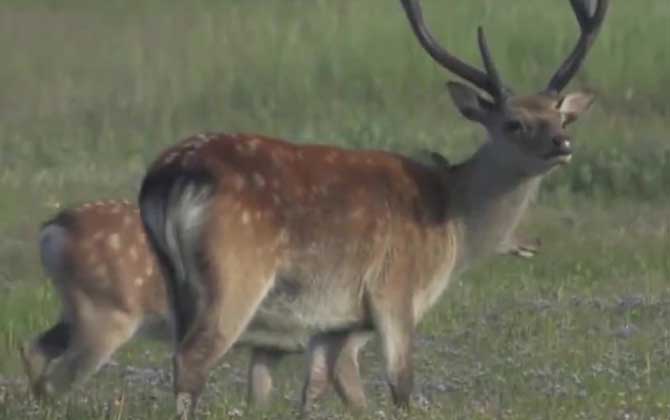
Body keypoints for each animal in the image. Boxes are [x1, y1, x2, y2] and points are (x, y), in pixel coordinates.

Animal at [18, 200, 368, 406]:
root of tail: (53, 230)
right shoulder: (341, 337)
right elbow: (357, 399)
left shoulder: (271, 345)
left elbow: (260, 397)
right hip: (107, 313)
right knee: (56, 379)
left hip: (77, 310)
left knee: (35, 350)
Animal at [136, 0, 608, 416]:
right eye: (515, 123)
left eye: (561, 117)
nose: (562, 144)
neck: (452, 222)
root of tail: (169, 173)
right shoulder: (393, 291)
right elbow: (399, 389)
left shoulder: (334, 324)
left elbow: (319, 393)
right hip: (235, 275)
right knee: (191, 360)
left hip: (179, 284)